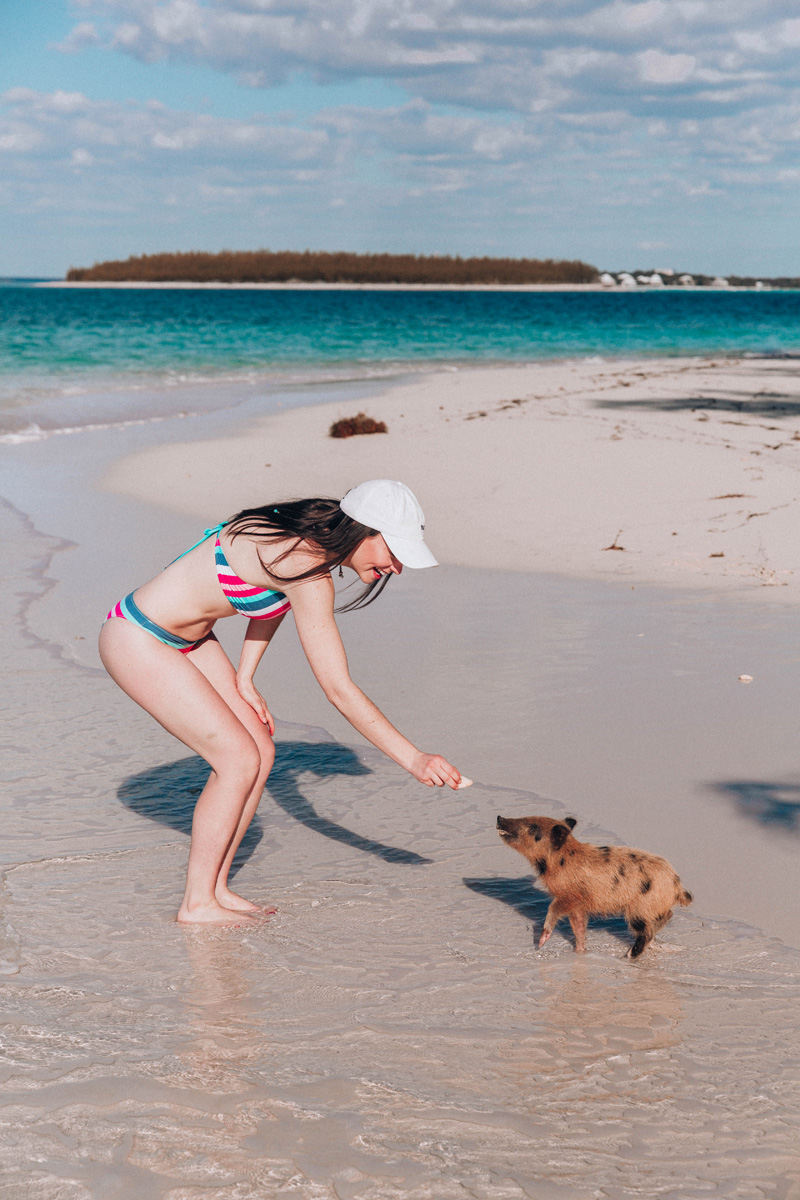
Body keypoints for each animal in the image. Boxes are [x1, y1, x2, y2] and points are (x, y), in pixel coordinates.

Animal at [496, 816, 690, 955]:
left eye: (533, 827)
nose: (499, 817)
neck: (558, 863)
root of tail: (677, 886)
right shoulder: (578, 907)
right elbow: (579, 928)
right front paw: (580, 951)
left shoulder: (569, 896)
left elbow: (553, 910)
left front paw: (540, 943)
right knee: (664, 918)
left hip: (640, 909)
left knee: (647, 931)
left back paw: (628, 955)